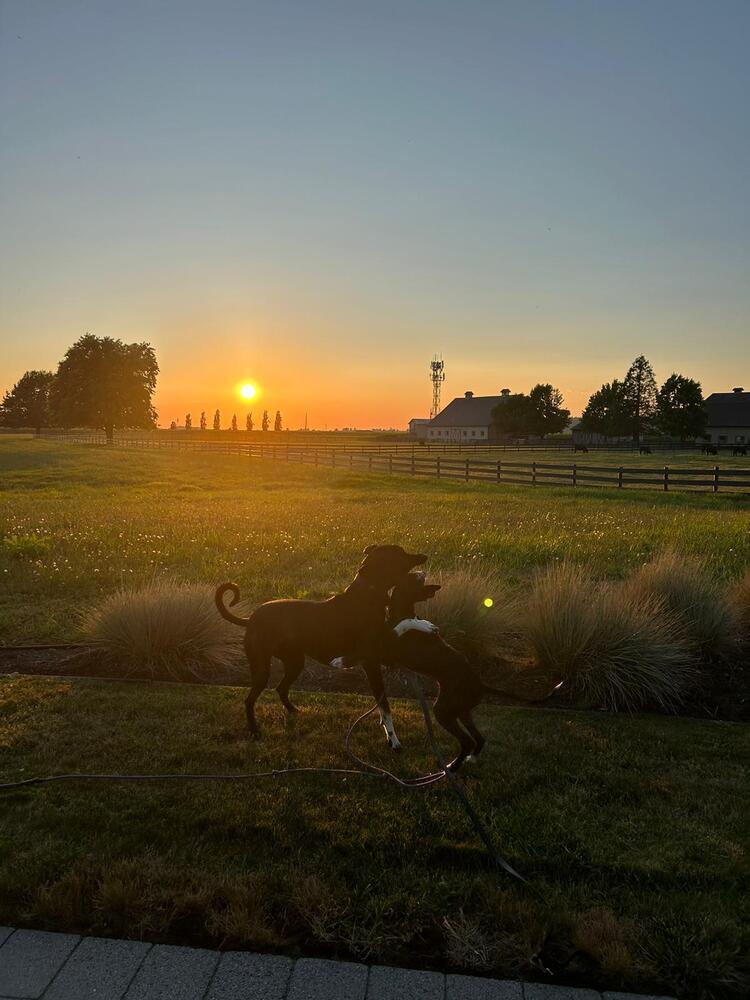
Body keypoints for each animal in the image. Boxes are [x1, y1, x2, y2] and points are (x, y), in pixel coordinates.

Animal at [217, 544, 428, 740]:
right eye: (400, 554)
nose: (423, 555)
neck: (366, 596)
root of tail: (250, 618)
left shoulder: (380, 656)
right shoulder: (370, 661)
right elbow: (384, 705)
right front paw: (392, 737)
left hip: (294, 662)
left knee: (281, 688)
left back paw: (294, 711)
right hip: (262, 667)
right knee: (250, 699)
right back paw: (254, 730)